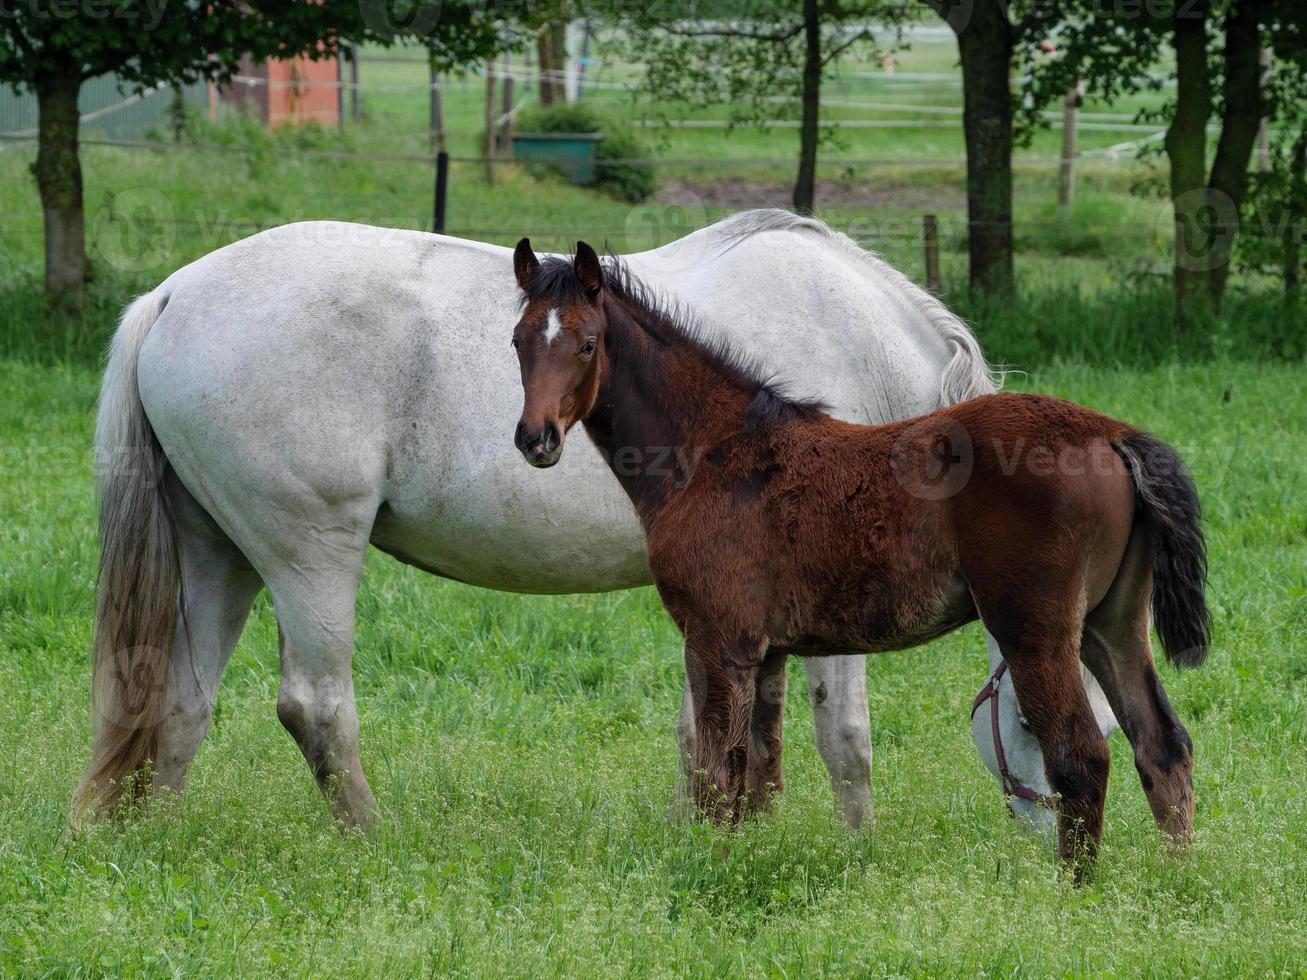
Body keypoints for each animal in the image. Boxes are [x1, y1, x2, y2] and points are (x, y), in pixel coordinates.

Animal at [74, 211, 1082, 831]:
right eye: (1034, 725)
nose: (1055, 830)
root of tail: (172, 294)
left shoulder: (729, 609)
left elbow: (712, 735)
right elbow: (845, 743)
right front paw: (856, 855)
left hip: (219, 555)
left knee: (177, 701)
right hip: (307, 557)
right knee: (316, 708)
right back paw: (373, 837)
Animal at [504, 241, 1207, 872]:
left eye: (586, 344)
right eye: (517, 341)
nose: (536, 439)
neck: (712, 450)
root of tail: (1113, 435)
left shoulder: (718, 638)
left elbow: (714, 775)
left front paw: (703, 869)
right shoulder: (766, 650)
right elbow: (756, 772)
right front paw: (746, 863)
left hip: (1036, 629)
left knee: (1083, 756)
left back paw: (1073, 896)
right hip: (1111, 623)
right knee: (1162, 743)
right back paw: (1178, 879)